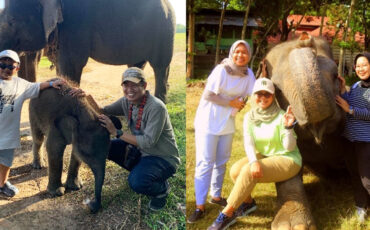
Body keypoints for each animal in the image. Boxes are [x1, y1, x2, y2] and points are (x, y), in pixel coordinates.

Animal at [0, 0, 175, 102]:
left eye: (12, 21)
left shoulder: (75, 25)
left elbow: (70, 66)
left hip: (165, 30)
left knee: (160, 66)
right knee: (136, 66)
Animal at [28, 79, 110, 214]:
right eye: (87, 154)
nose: (91, 205)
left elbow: (75, 153)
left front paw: (76, 187)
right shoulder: (56, 126)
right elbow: (53, 148)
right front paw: (57, 192)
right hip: (33, 111)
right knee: (38, 138)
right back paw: (39, 166)